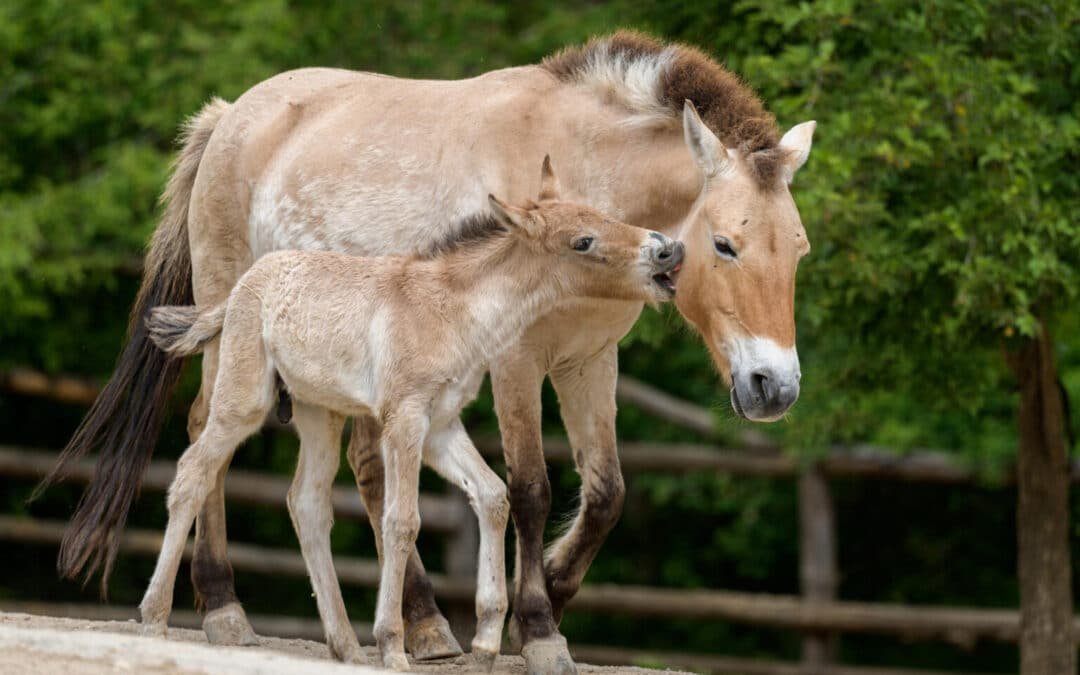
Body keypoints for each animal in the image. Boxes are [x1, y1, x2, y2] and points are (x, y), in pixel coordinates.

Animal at [140, 163, 684, 670]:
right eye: (583, 241)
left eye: (604, 215)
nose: (667, 251)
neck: (453, 311)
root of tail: (239, 289)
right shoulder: (405, 418)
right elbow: (402, 520)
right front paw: (394, 646)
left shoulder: (441, 426)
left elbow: (493, 495)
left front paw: (486, 641)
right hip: (243, 400)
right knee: (192, 472)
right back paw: (156, 619)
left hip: (320, 413)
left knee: (307, 503)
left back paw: (345, 646)